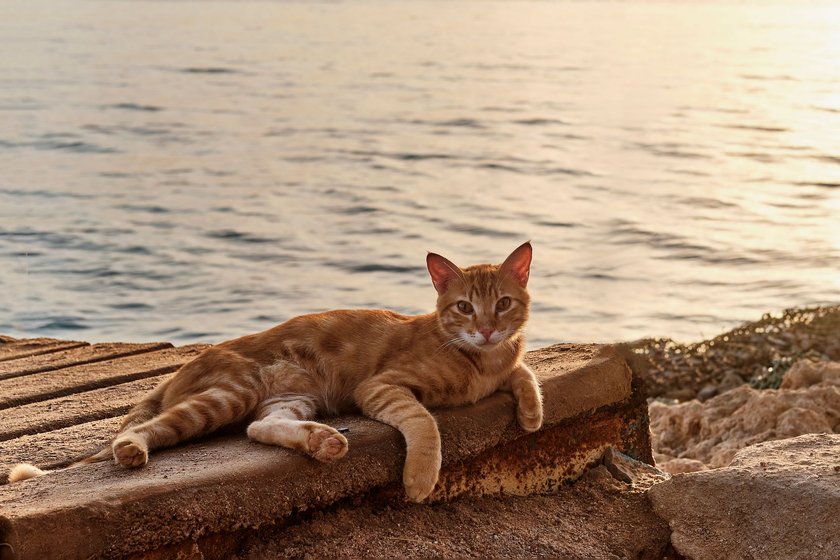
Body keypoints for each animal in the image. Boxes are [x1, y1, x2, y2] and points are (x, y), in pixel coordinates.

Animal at [11, 243, 544, 500]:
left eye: (502, 304)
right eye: (463, 308)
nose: (487, 330)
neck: (480, 360)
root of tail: (182, 368)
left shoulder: (507, 360)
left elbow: (523, 371)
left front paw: (532, 413)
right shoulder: (381, 387)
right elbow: (424, 422)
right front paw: (419, 478)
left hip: (291, 398)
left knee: (260, 428)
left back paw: (321, 441)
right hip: (230, 392)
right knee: (146, 428)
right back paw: (132, 449)